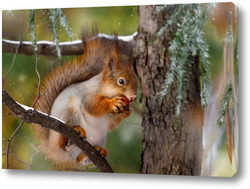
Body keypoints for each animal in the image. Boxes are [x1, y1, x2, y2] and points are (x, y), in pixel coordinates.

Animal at [32, 28, 138, 165]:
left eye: (136, 83)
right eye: (121, 81)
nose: (133, 97)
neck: (103, 89)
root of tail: (51, 148)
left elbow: (110, 124)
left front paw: (125, 113)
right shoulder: (88, 94)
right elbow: (92, 106)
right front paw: (113, 103)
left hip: (98, 137)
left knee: (78, 159)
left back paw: (97, 151)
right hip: (69, 112)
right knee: (62, 144)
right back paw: (73, 135)